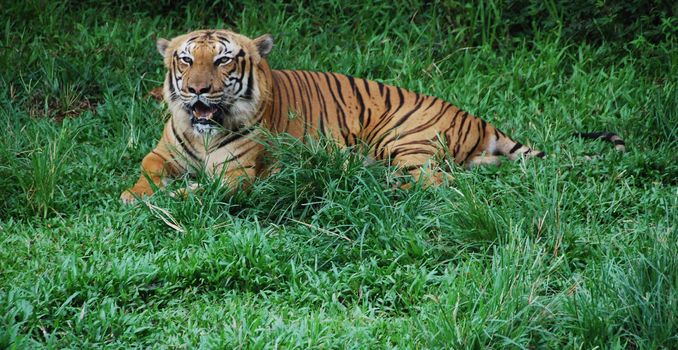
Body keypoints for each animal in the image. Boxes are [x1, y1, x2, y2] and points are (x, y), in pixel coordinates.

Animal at [118, 29, 628, 204]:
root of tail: (478, 119)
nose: (198, 90)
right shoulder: (163, 153)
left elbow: (199, 193)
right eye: (187, 60)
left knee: (436, 182)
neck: (201, 131)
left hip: (401, 138)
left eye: (223, 61)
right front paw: (134, 194)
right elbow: (146, 173)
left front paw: (167, 199)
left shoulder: (235, 176)